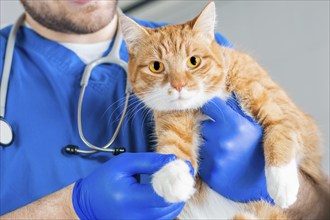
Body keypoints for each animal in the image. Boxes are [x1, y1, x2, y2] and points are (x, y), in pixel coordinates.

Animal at [119, 1, 328, 218]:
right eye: (156, 66)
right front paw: (173, 176)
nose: (178, 85)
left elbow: (279, 132)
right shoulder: (173, 121)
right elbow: (173, 146)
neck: (208, 101)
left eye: (193, 61)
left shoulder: (285, 113)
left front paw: (282, 183)